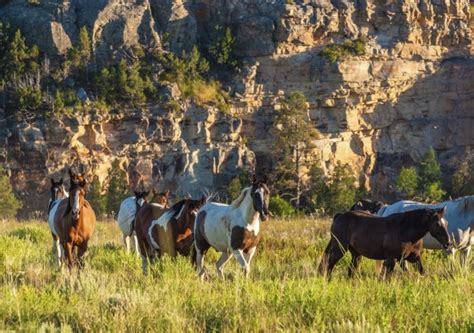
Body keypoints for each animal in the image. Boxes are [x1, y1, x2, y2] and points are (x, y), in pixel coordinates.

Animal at [318, 208, 452, 278]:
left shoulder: (411, 257)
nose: (448, 243)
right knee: (329, 265)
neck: (405, 231)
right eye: (437, 224)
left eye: (446, 223)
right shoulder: (392, 259)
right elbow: (388, 277)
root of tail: (339, 216)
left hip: (356, 253)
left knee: (351, 270)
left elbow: (420, 271)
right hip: (339, 249)